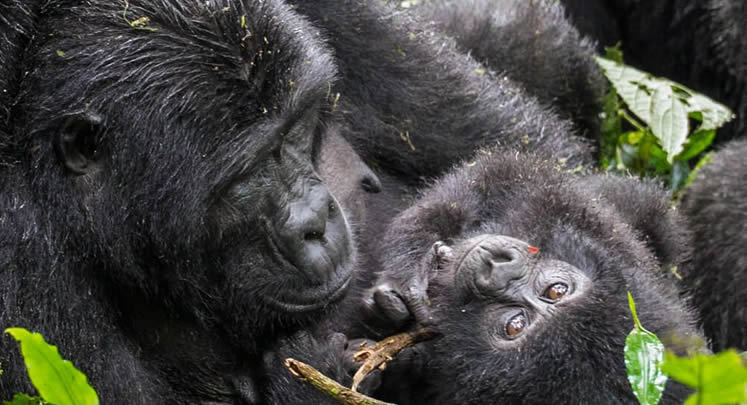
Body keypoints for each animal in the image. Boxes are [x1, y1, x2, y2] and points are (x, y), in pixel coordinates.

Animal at [362, 149, 700, 404]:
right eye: (557, 291)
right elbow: (501, 174)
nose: (496, 269)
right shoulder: (596, 223)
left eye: (515, 326)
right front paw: (412, 264)